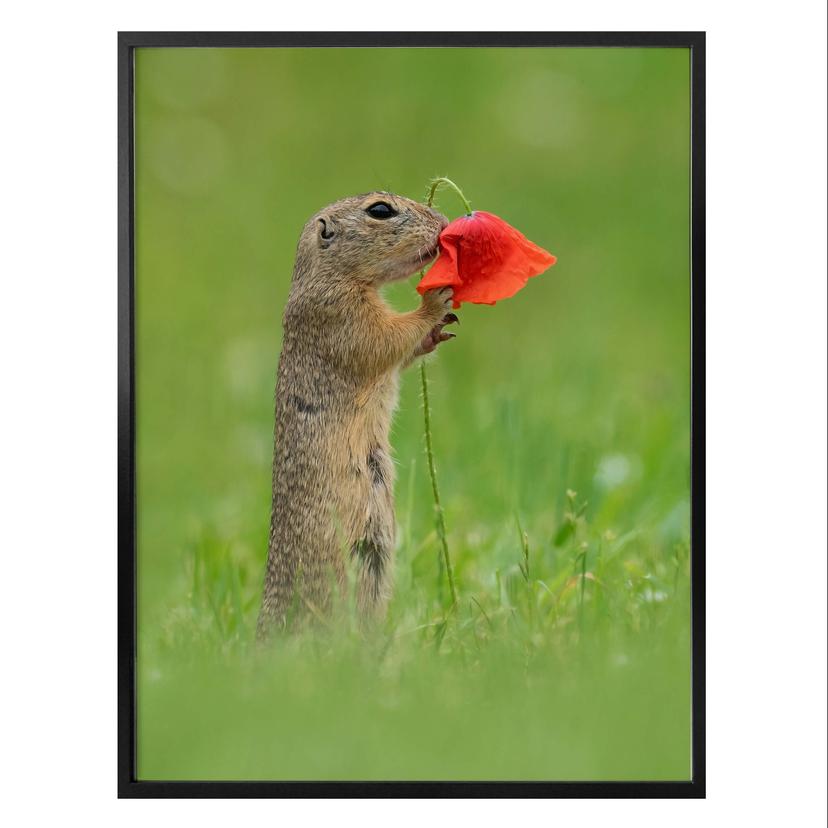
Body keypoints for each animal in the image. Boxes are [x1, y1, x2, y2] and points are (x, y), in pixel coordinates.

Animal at [256, 192, 457, 638]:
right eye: (380, 210)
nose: (443, 222)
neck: (329, 276)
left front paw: (438, 332)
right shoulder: (341, 315)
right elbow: (386, 338)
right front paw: (436, 301)